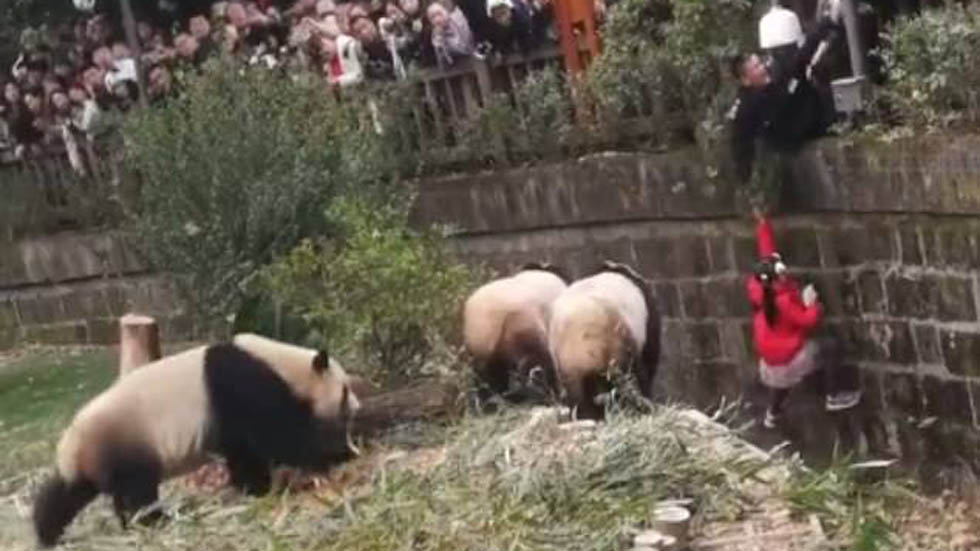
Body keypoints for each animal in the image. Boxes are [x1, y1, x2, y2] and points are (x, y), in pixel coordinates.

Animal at [32, 333, 361, 547]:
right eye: (345, 390)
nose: (357, 408)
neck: (278, 362)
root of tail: (72, 449)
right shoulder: (241, 384)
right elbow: (278, 435)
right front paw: (336, 454)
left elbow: (242, 450)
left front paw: (252, 487)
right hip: (124, 441)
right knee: (136, 490)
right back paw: (153, 521)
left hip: (95, 457)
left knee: (65, 493)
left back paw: (48, 533)